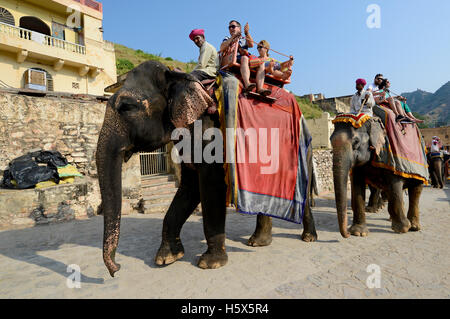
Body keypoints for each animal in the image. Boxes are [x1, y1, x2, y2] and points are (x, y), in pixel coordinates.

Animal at [96, 60, 318, 278]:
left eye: (126, 107)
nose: (116, 269)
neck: (178, 76)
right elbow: (189, 188)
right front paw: (166, 258)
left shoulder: (211, 133)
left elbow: (211, 187)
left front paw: (209, 263)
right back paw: (258, 242)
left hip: (303, 152)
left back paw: (307, 238)